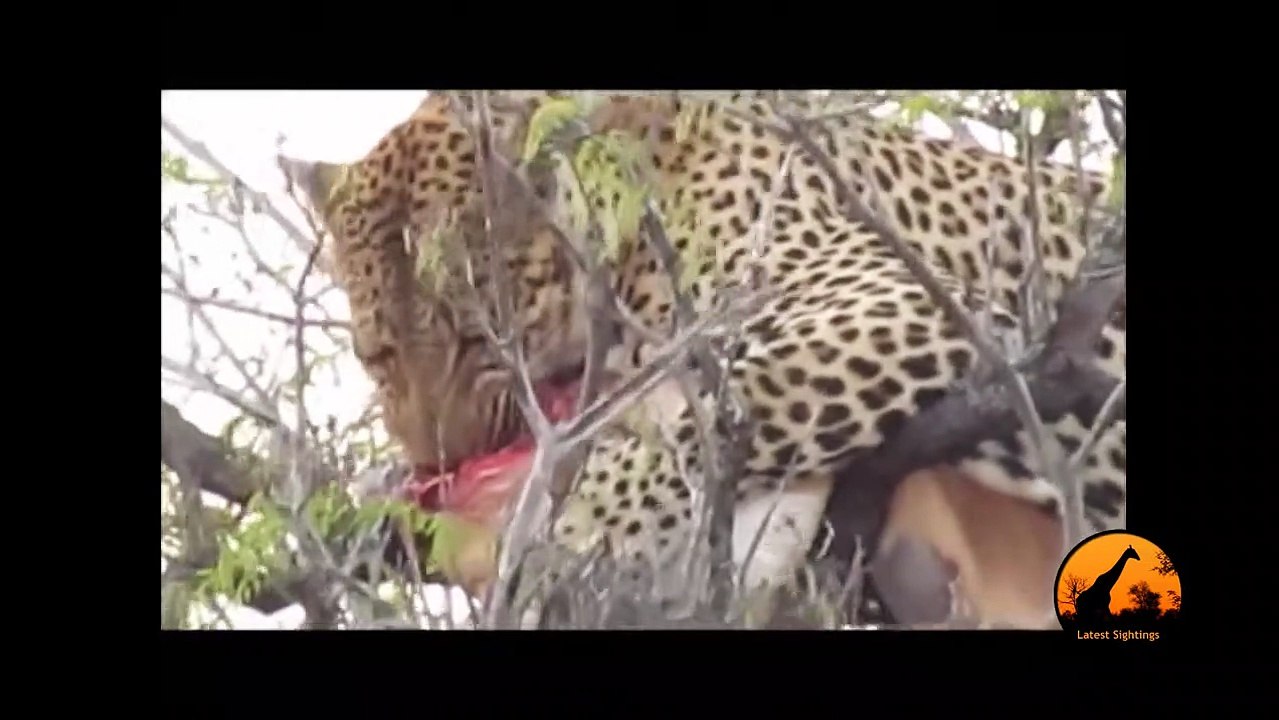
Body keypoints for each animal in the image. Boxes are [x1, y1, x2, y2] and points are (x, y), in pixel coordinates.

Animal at [282, 90, 1127, 628]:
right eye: (378, 356)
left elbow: (706, 424)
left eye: (479, 344)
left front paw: (570, 542)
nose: (441, 462)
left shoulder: (893, 300)